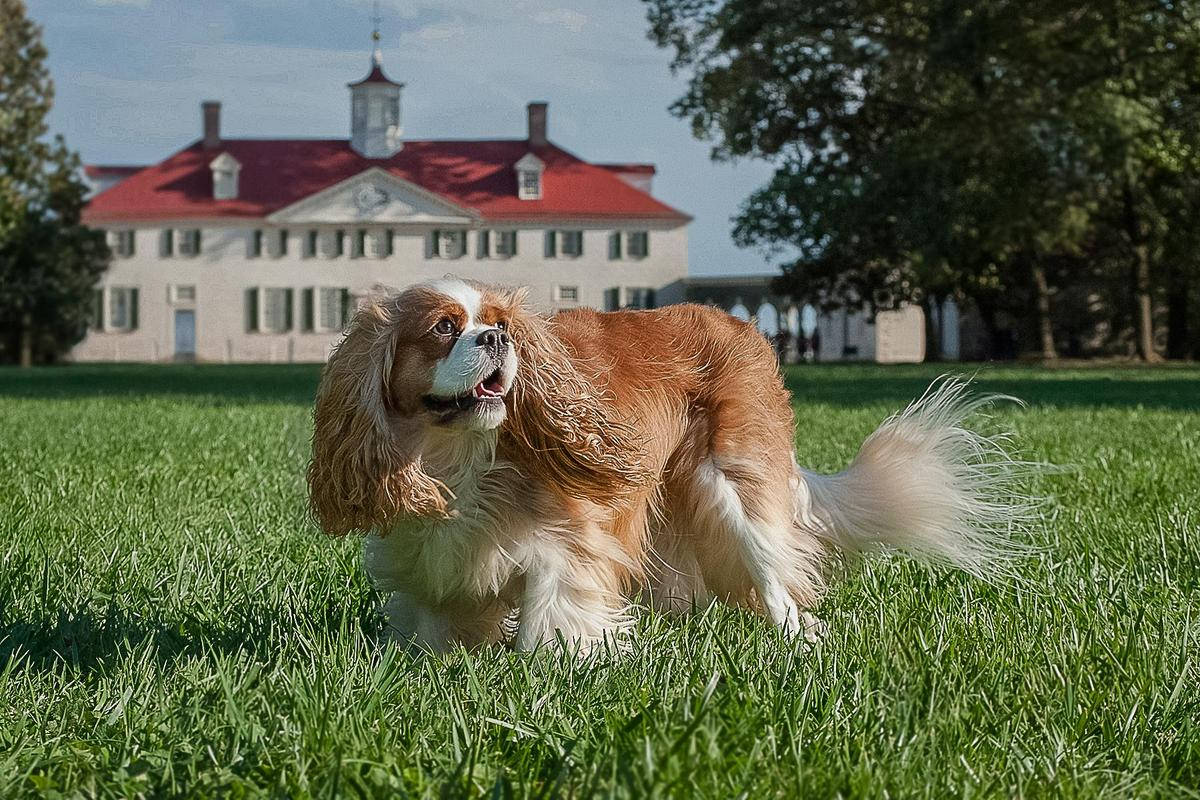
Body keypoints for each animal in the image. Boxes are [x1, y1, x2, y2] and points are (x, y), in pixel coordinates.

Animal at [304, 278, 1027, 652]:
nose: (498, 337)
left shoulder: (570, 547)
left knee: (776, 578)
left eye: (500, 322)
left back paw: (797, 642)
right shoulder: (428, 566)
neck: (456, 460)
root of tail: (741, 326)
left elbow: (551, 624)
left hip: (734, 486)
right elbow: (432, 632)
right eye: (444, 328)